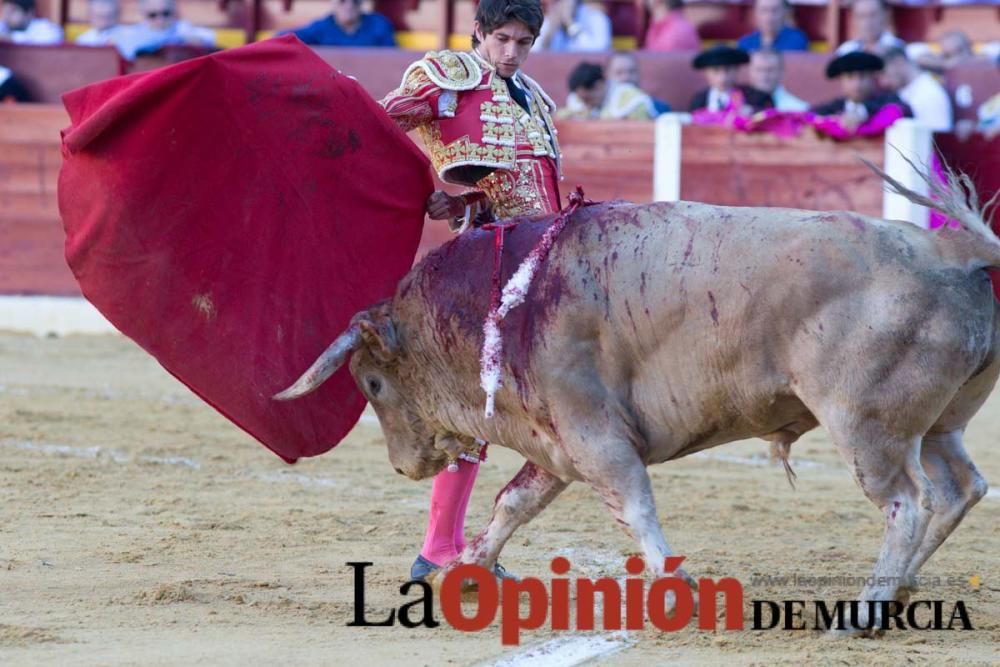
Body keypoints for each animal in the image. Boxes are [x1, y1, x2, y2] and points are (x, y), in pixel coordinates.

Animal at [276, 166, 1000, 632]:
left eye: (372, 384)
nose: (405, 465)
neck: (501, 299)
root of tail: (951, 249)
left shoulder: (595, 438)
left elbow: (633, 506)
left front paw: (678, 592)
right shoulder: (558, 444)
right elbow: (513, 502)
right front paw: (470, 572)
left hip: (865, 427)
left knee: (907, 501)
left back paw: (862, 613)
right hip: (939, 425)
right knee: (959, 486)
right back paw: (903, 587)